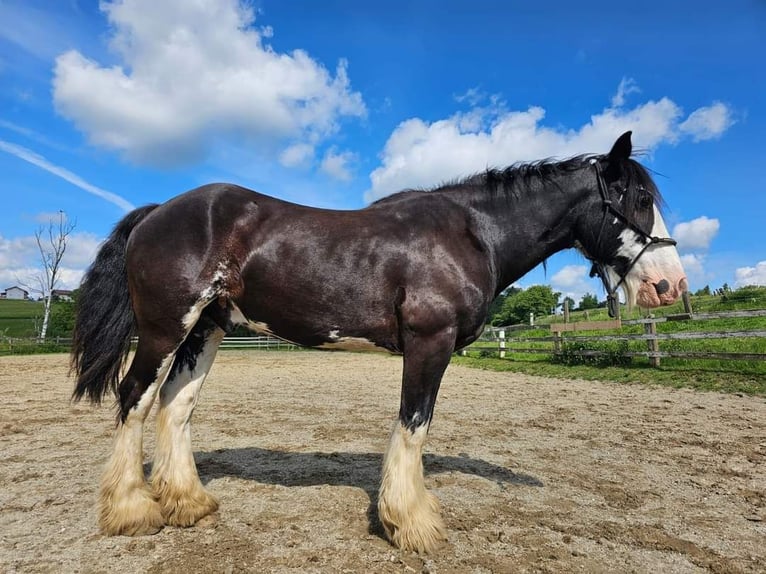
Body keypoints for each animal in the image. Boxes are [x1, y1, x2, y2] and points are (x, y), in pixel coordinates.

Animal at [72, 133, 688, 556]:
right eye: (635, 197)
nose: (670, 286)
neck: (472, 232)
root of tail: (158, 212)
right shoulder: (428, 342)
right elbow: (414, 424)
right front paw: (411, 523)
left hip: (205, 329)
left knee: (175, 405)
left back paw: (188, 504)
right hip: (163, 328)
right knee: (134, 398)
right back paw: (131, 510)